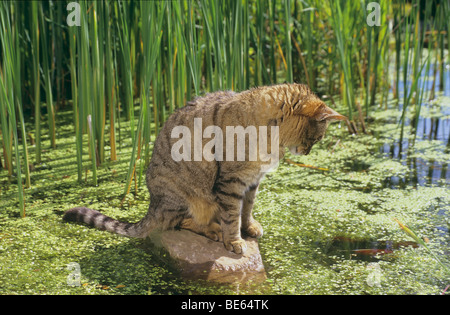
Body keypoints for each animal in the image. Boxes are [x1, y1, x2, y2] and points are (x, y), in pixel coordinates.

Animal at [62, 83, 344, 254]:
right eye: (315, 138)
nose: (307, 153)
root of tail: (153, 204)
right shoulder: (231, 181)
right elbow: (232, 214)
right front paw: (234, 240)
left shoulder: (253, 180)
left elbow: (247, 208)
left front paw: (249, 227)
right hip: (184, 195)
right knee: (177, 222)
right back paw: (212, 229)